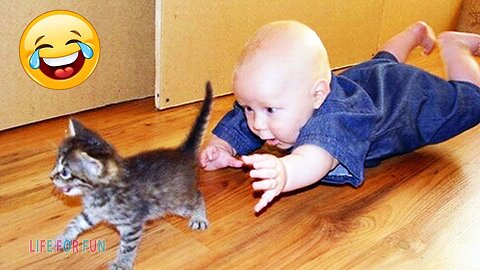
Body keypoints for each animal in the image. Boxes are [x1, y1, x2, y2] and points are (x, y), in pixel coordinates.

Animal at [50, 81, 212, 268]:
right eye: (56, 164)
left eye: (65, 172)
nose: (51, 177)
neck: (99, 192)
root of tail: (183, 152)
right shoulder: (93, 212)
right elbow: (76, 222)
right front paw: (63, 238)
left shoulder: (132, 225)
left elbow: (127, 247)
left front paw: (121, 263)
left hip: (178, 202)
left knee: (198, 196)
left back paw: (199, 217)